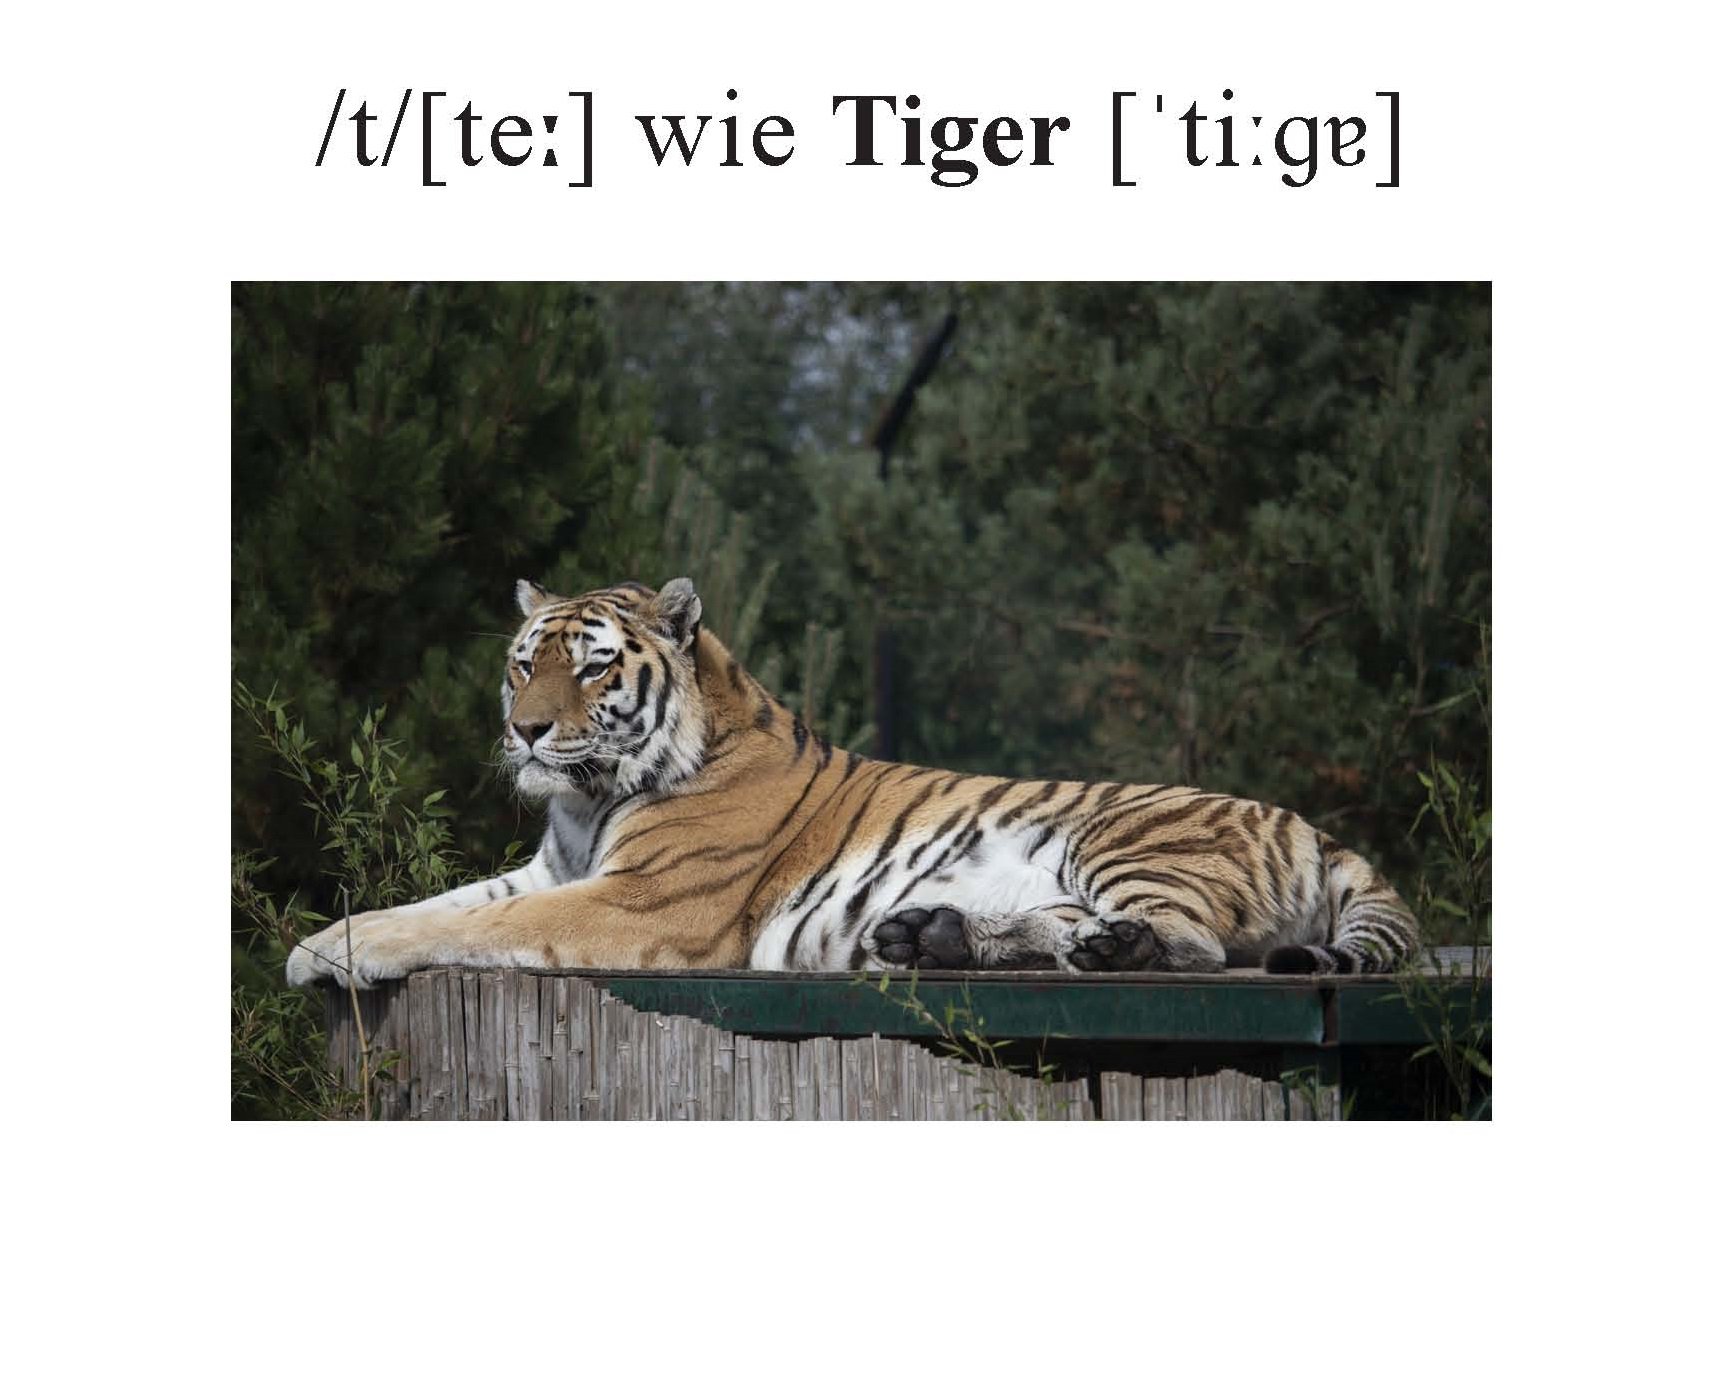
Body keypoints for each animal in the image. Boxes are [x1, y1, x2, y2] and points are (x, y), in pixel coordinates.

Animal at [286, 577, 1419, 989]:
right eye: (526, 663)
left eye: (596, 667)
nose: (523, 731)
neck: (586, 797)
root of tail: (1316, 827)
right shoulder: (548, 872)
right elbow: (437, 903)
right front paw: (318, 939)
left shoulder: (636, 903)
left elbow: (474, 926)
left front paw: (334, 957)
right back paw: (934, 935)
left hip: (1126, 837)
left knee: (1193, 944)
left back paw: (1106, 948)